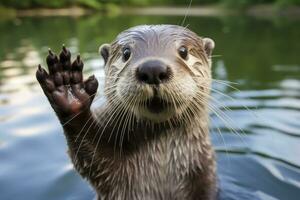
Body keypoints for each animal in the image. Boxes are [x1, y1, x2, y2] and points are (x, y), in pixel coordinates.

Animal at [36, 25, 217, 200]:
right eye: (126, 53)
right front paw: (68, 87)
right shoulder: (111, 173)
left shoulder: (203, 171)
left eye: (183, 51)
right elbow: (89, 156)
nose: (152, 68)